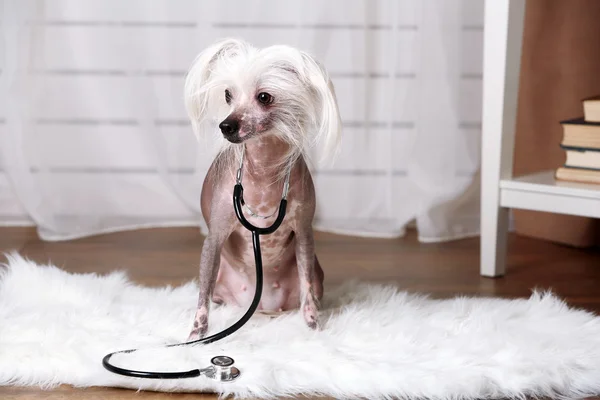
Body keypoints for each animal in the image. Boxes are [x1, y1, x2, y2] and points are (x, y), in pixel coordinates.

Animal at [183, 38, 342, 340]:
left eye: (265, 97)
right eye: (228, 95)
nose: (226, 126)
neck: (264, 168)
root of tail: (259, 306)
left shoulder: (304, 233)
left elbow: (307, 290)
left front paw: (313, 328)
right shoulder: (214, 239)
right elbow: (202, 299)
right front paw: (196, 336)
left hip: (317, 273)